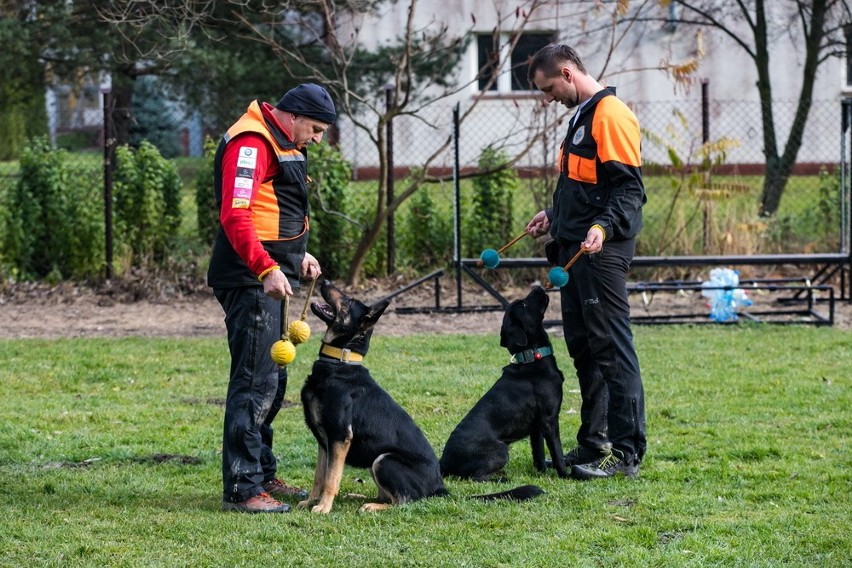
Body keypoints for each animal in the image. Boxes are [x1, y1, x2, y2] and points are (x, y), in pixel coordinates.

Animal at [298, 280, 540, 516]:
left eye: (349, 301)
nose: (324, 279)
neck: (340, 361)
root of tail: (440, 488)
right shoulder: (325, 442)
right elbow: (319, 477)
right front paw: (311, 501)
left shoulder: (339, 437)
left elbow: (331, 478)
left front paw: (324, 507)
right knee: (390, 495)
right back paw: (359, 498)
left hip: (383, 460)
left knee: (404, 500)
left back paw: (372, 506)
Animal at [440, 288, 572, 480]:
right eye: (523, 304)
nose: (538, 287)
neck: (532, 357)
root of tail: (442, 463)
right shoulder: (549, 420)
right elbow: (557, 452)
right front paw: (566, 475)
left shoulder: (536, 427)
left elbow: (538, 454)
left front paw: (542, 473)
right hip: (501, 449)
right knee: (476, 477)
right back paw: (502, 478)